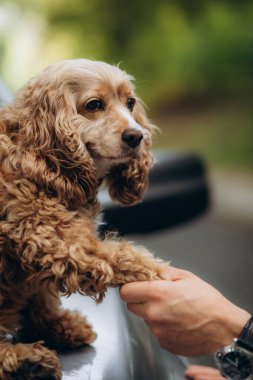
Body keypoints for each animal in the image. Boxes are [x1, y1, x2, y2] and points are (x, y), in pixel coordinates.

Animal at [0, 58, 167, 378]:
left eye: (130, 103)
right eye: (94, 105)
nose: (136, 136)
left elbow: (40, 296)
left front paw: (57, 326)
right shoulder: (57, 240)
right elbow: (121, 256)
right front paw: (157, 272)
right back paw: (25, 360)